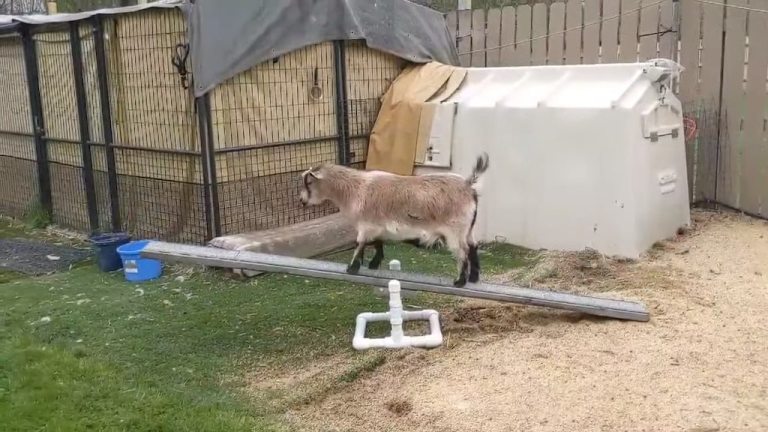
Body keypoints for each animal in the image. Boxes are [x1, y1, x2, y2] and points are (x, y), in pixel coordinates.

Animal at [296, 153, 488, 286]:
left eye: (309, 182)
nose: (302, 201)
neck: (353, 189)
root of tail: (469, 186)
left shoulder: (365, 224)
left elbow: (359, 243)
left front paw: (352, 268)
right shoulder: (376, 225)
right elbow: (377, 242)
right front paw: (373, 263)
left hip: (455, 230)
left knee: (462, 252)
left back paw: (460, 281)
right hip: (467, 230)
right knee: (473, 247)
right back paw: (473, 277)